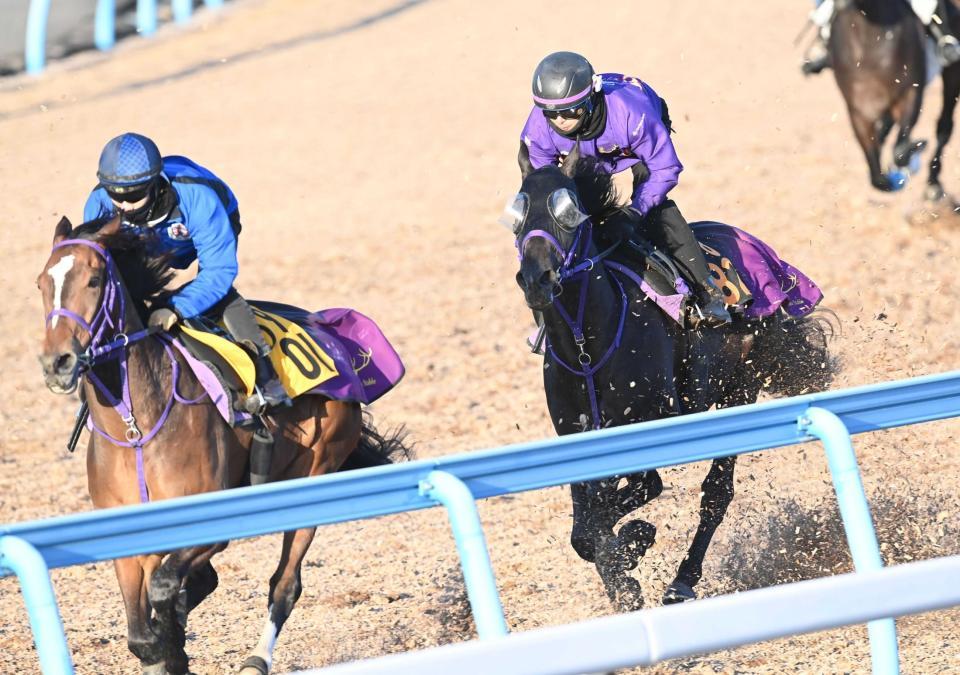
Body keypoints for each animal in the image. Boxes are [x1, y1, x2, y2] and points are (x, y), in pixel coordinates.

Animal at [35, 215, 404, 672]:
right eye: (41, 284)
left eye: (94, 279)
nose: (57, 363)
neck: (136, 430)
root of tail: (336, 340)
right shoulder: (128, 537)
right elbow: (141, 633)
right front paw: (165, 647)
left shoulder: (208, 525)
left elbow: (162, 591)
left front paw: (172, 645)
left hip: (316, 474)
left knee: (285, 584)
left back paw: (255, 658)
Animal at [510, 149, 840, 612]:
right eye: (517, 214)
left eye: (569, 212)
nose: (537, 279)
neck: (587, 347)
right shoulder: (577, 436)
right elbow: (585, 530)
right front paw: (623, 576)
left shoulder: (648, 427)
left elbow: (625, 501)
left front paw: (634, 542)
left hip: (741, 387)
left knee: (716, 494)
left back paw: (682, 581)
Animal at [824, 0, 960, 201]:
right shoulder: (858, 111)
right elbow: (877, 178)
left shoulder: (911, 93)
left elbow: (901, 151)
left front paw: (916, 149)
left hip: (952, 74)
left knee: (944, 128)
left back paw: (933, 184)